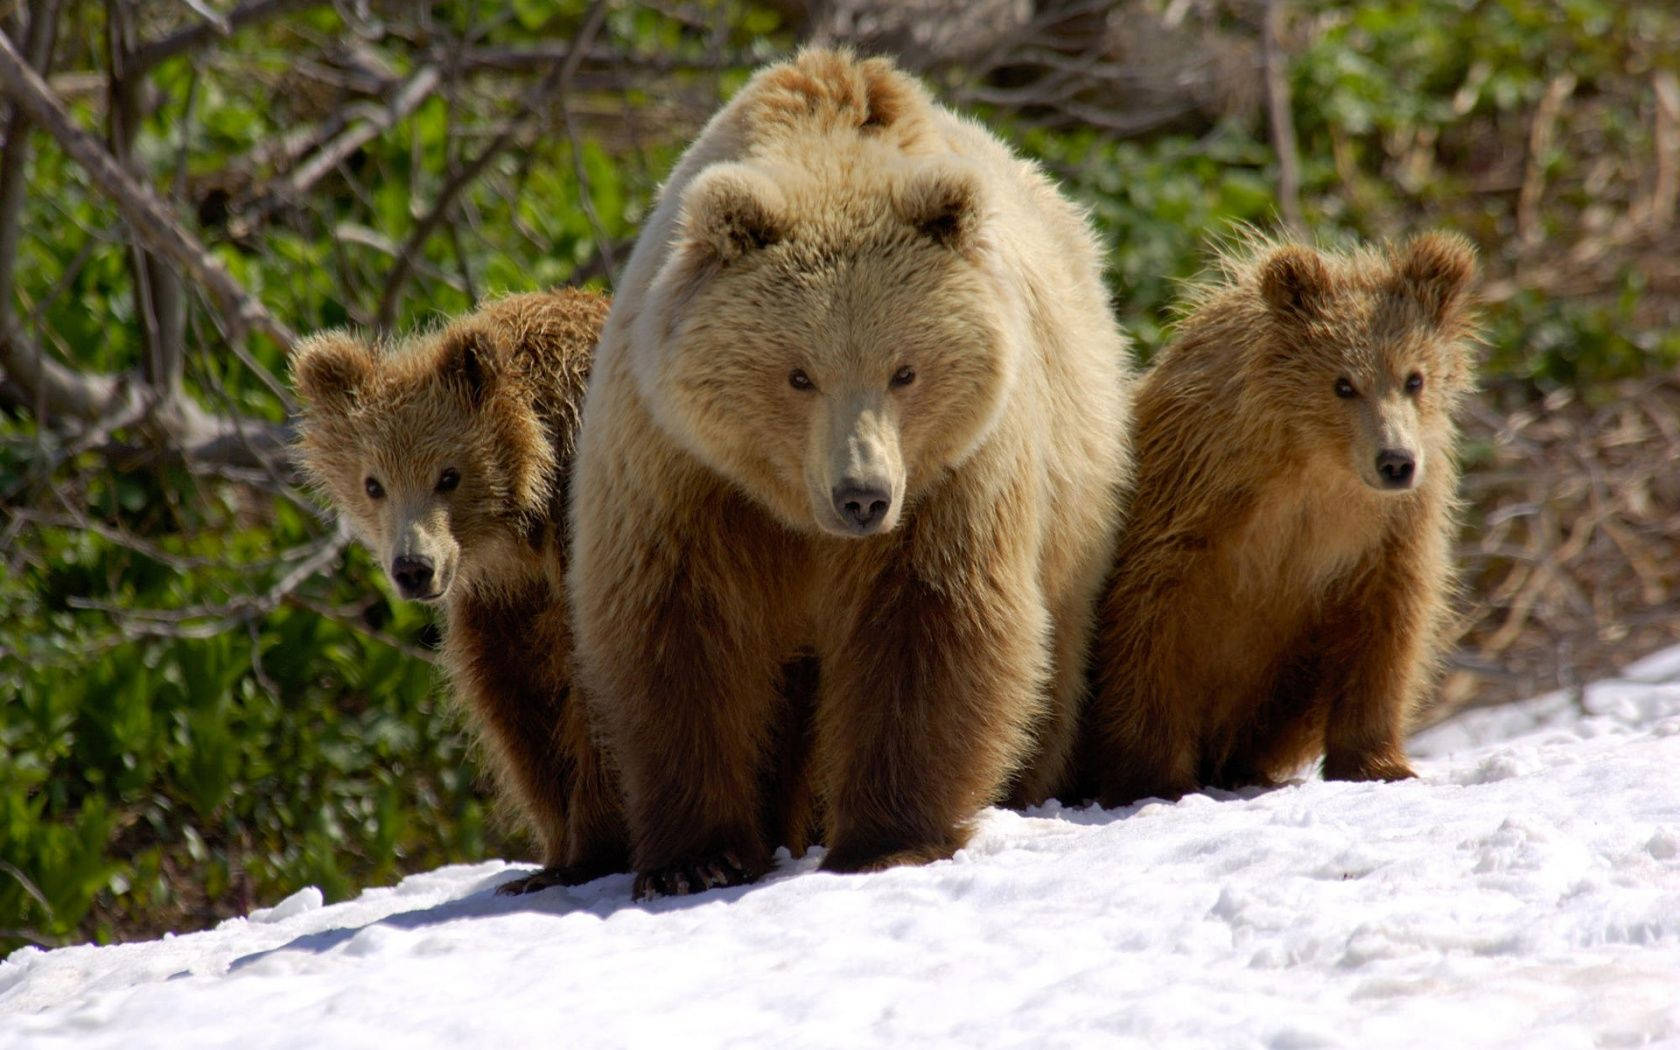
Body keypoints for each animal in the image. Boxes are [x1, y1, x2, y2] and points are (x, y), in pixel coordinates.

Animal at [288, 288, 631, 893]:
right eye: (373, 483)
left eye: (448, 475)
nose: (413, 568)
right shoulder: (504, 602)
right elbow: (516, 704)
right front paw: (552, 855)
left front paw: (593, 851)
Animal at [571, 49, 1135, 893]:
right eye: (798, 374)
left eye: (905, 370)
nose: (862, 495)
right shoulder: (681, 471)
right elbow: (679, 633)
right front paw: (695, 859)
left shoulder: (953, 475)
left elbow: (928, 623)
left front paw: (886, 840)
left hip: (1075, 492)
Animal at [1081, 231, 1478, 803]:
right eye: (1343, 383)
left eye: (1414, 378)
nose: (1396, 461)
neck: (1314, 466)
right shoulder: (1192, 504)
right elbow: (1148, 626)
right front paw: (1153, 777)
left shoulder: (1386, 532)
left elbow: (1387, 629)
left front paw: (1379, 763)